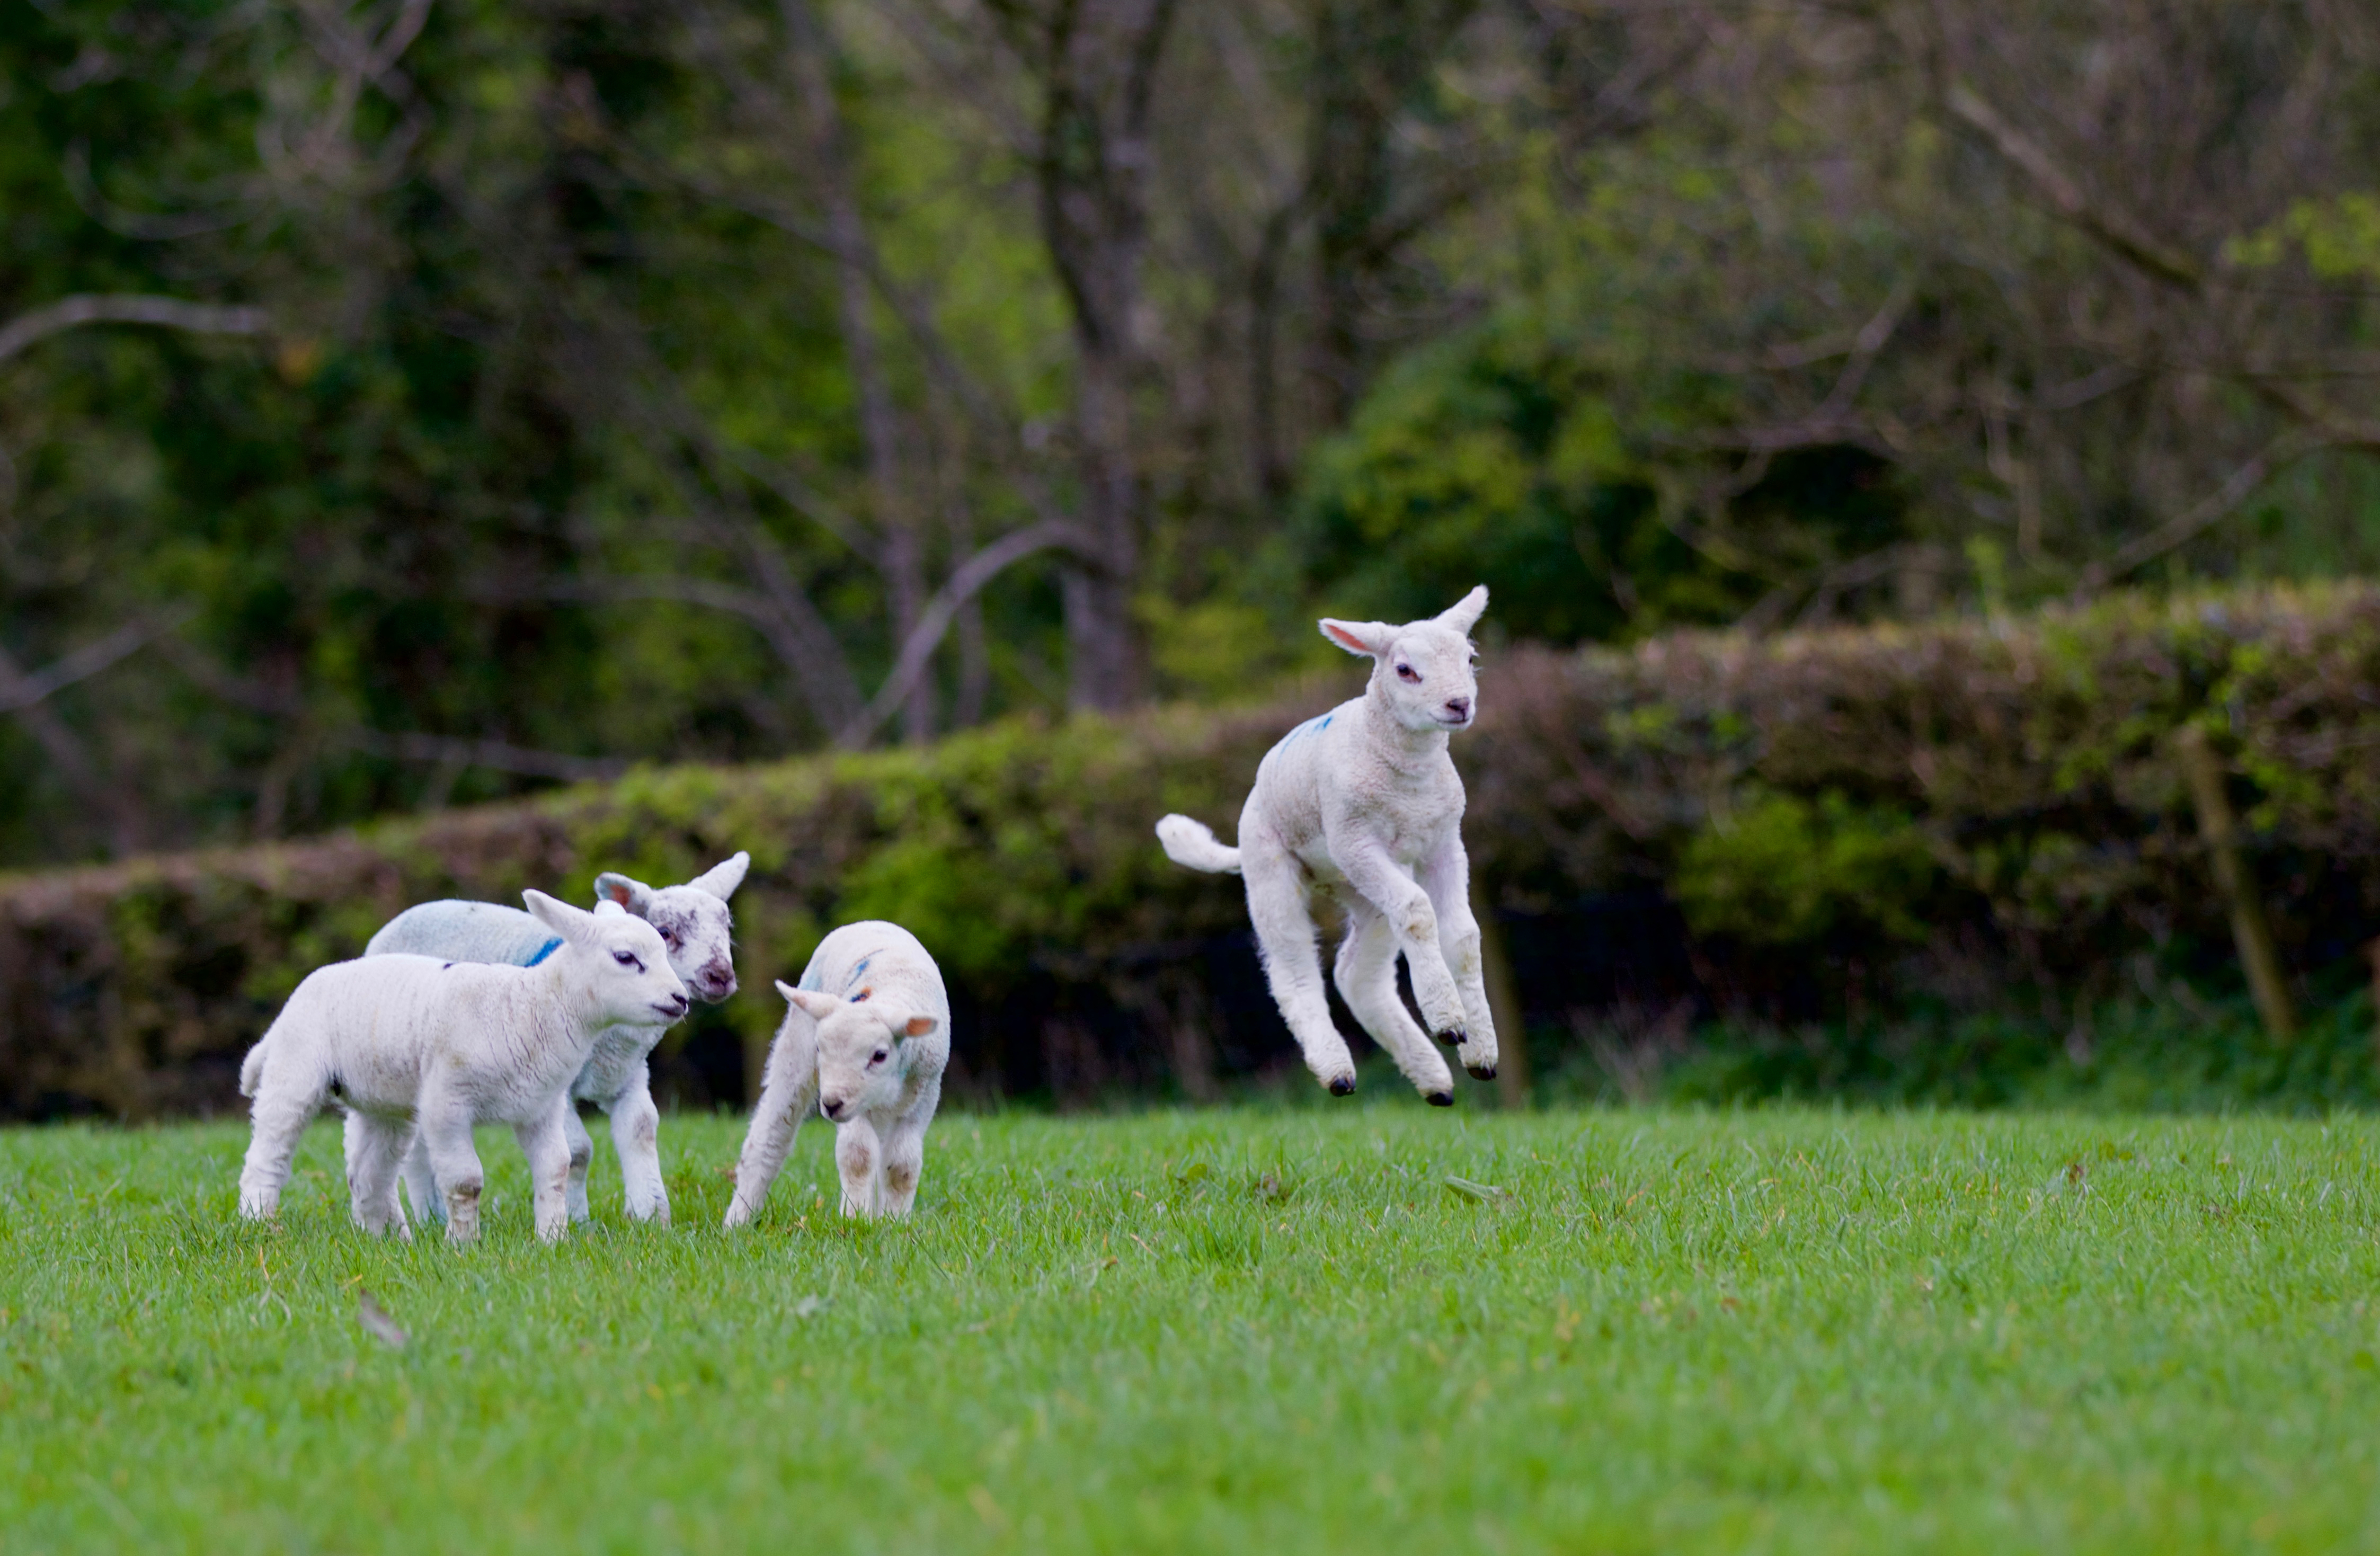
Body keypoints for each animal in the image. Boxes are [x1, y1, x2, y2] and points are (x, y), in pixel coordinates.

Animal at [234, 894, 690, 1247]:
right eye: (625, 957)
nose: (681, 999)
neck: (530, 1006)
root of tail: (289, 1007)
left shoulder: (541, 1107)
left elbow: (556, 1168)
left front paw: (554, 1239)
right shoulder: (447, 1103)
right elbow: (465, 1179)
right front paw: (463, 1244)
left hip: (382, 1100)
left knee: (369, 1171)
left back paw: (389, 1239)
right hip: (296, 1070)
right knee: (269, 1154)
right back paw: (259, 1225)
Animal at [361, 851, 747, 1228]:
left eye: (726, 926)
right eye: (666, 932)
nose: (720, 976)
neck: (611, 1035)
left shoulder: (628, 1075)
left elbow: (641, 1129)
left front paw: (650, 1216)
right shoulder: (554, 1081)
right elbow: (579, 1151)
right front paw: (578, 1220)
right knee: (415, 1149)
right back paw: (430, 1217)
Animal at [714, 918, 947, 1228]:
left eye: (879, 1055)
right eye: (819, 1048)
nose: (831, 1104)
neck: (889, 992)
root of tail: (870, 922)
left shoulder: (925, 1094)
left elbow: (902, 1167)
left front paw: (893, 1223)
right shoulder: (853, 1103)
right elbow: (857, 1155)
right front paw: (856, 1219)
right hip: (796, 1047)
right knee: (771, 1136)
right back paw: (737, 1223)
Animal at [1157, 588, 1504, 1108]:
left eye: (1469, 658)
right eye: (1405, 669)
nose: (1459, 704)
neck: (1408, 777)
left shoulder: (1444, 842)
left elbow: (1462, 935)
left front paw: (1480, 1051)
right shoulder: (1354, 837)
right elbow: (1419, 911)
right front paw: (1448, 1020)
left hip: (1360, 887)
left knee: (1355, 974)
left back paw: (1435, 1081)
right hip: (1273, 867)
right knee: (1293, 968)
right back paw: (1338, 1071)